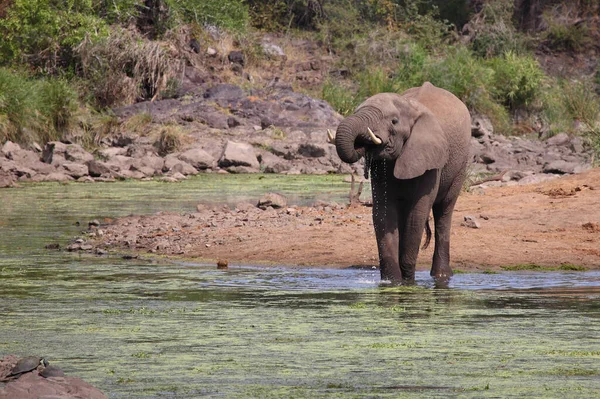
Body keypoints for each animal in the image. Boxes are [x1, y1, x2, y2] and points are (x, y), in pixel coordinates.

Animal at [330, 82, 472, 284]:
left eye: (394, 121)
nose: (362, 143)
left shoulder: (430, 158)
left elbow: (417, 214)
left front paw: (408, 283)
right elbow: (384, 212)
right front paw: (392, 283)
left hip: (460, 163)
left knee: (444, 211)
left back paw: (441, 277)